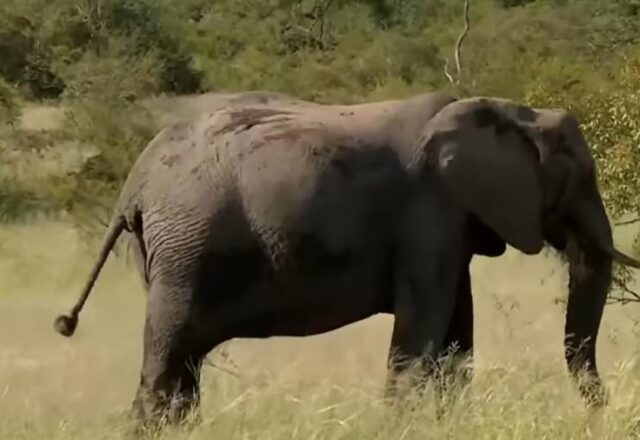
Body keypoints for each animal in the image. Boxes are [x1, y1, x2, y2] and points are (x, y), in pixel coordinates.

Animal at [53, 87, 640, 428]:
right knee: (169, 351)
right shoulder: (430, 210)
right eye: (579, 177)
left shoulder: (447, 221)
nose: (601, 410)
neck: (511, 111)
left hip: (173, 249)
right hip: (185, 247)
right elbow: (425, 328)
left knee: (183, 362)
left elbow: (457, 331)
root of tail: (133, 183)